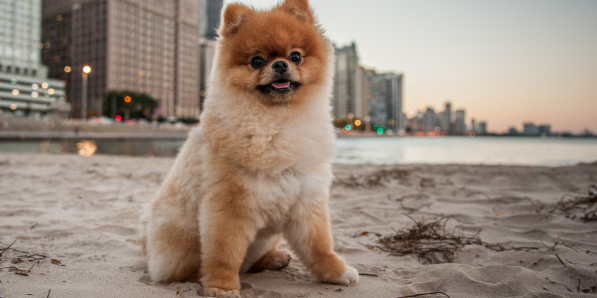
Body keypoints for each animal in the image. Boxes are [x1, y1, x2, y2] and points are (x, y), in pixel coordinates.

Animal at [143, 0, 358, 296]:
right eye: (257, 61)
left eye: (296, 56)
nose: (280, 64)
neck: (277, 121)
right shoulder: (229, 207)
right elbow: (224, 253)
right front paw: (221, 286)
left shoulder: (307, 200)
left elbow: (319, 246)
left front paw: (336, 273)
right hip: (180, 246)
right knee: (191, 269)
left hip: (266, 237)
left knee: (251, 262)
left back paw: (274, 258)